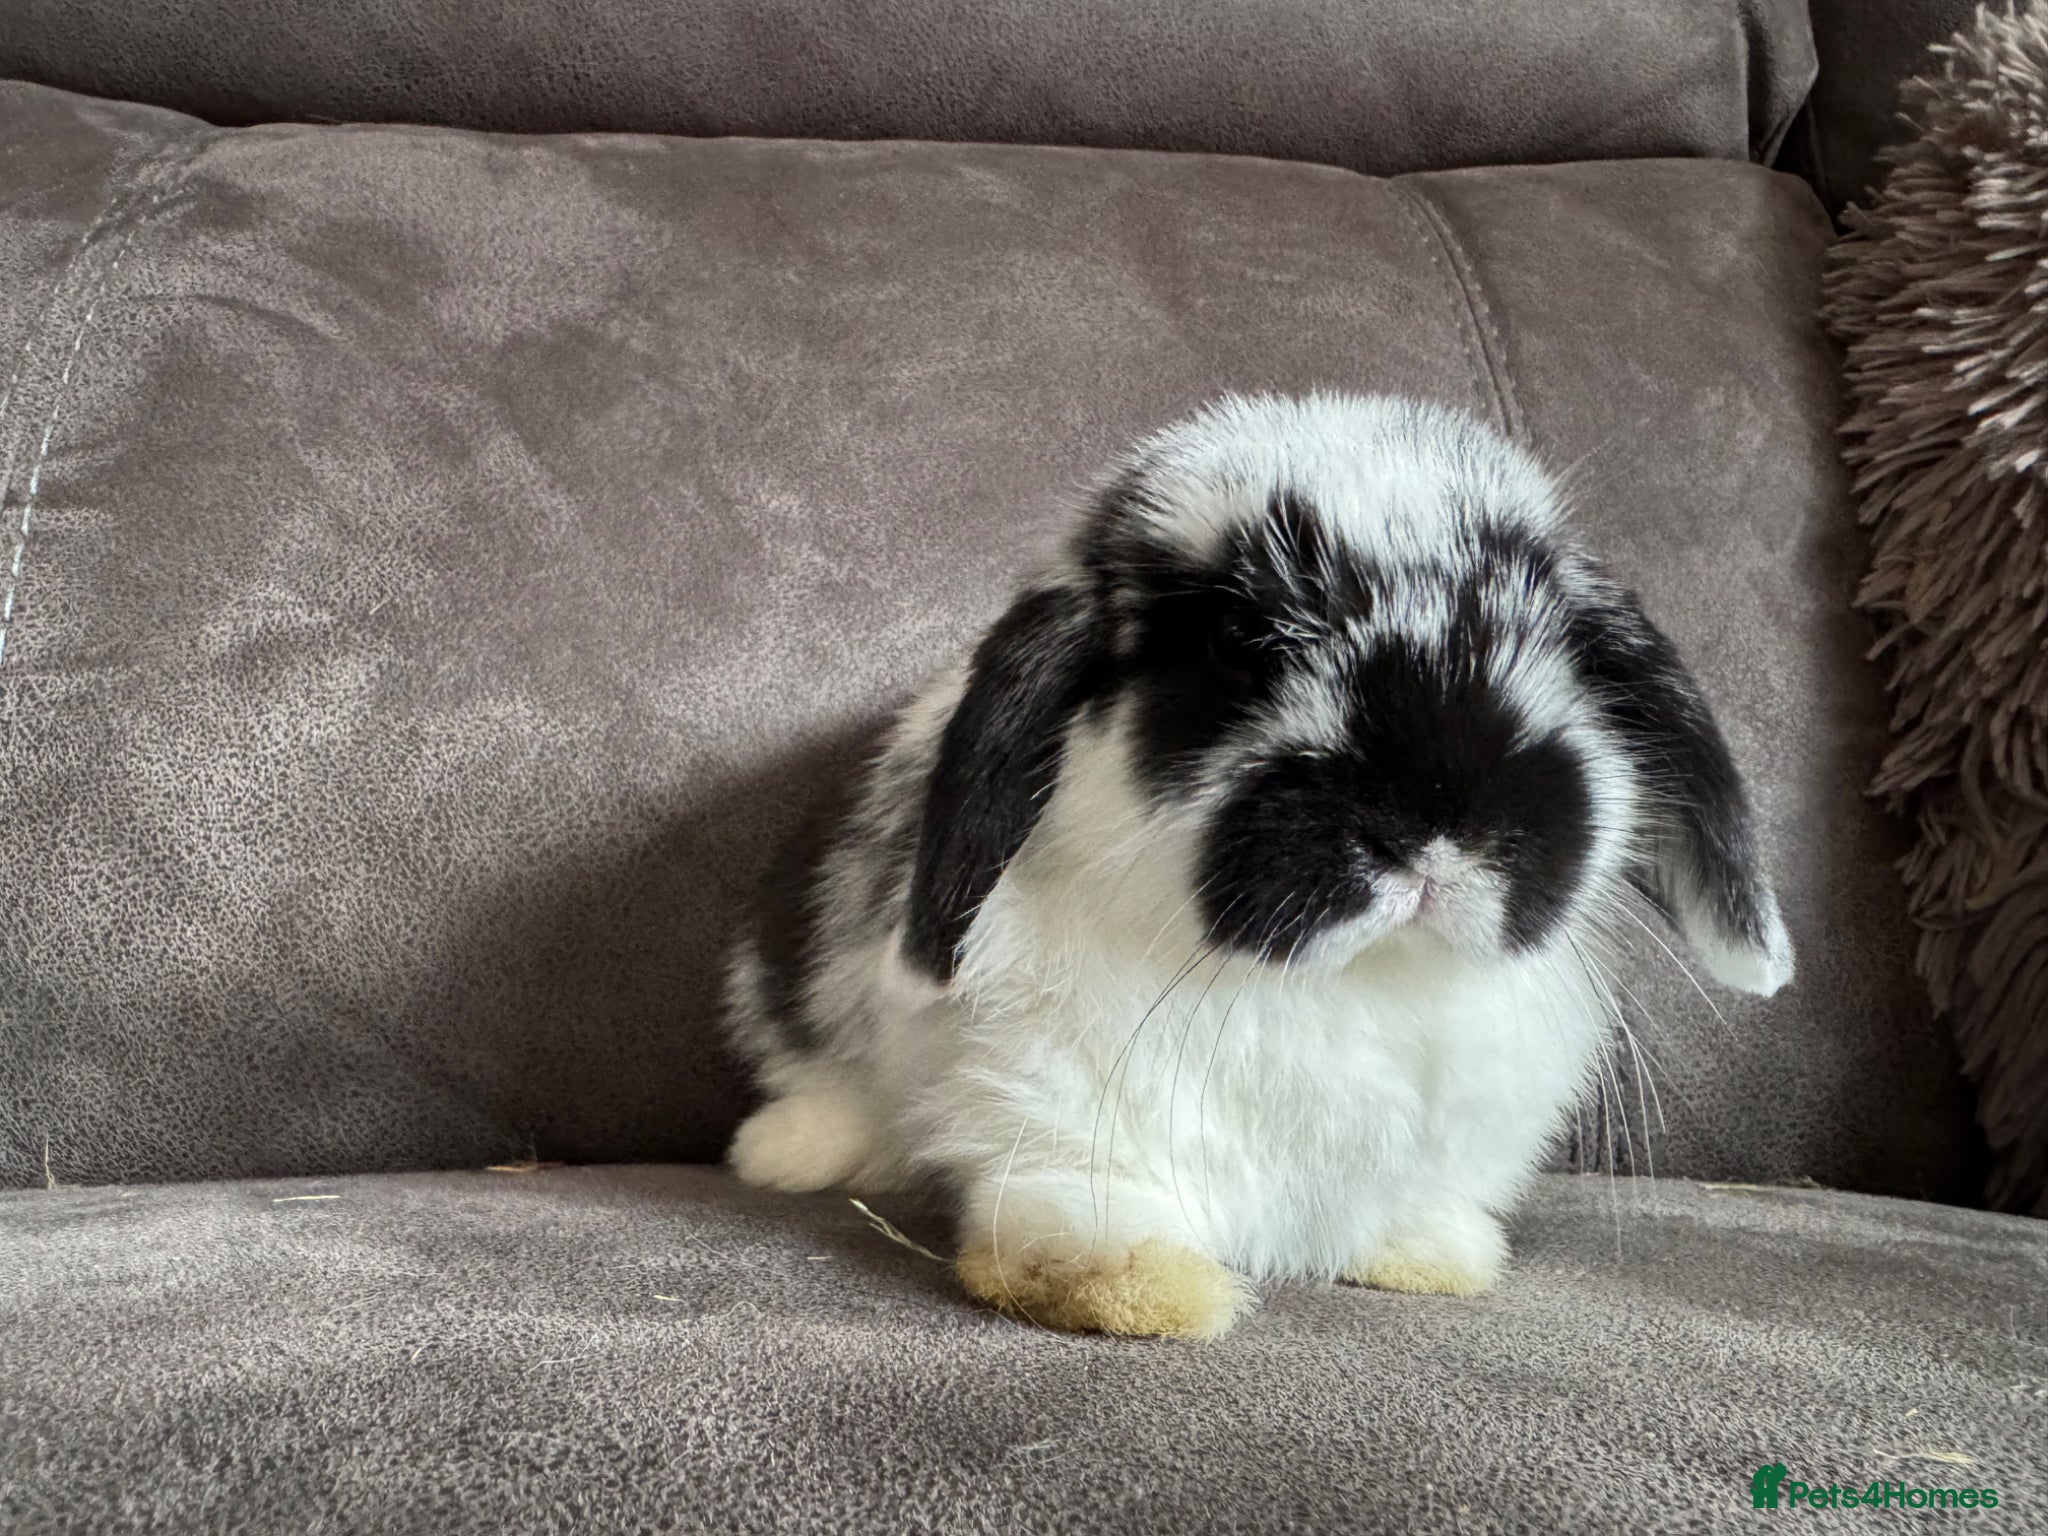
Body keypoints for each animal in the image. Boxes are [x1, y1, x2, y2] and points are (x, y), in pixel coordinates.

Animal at [722, 392, 1793, 1339]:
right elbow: (1080, 1209)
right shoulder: (1055, 1122)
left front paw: (1429, 1256)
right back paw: (786, 1150)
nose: (1436, 823)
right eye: (1237, 645)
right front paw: (1145, 1291)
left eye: (1550, 639)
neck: (1338, 986)